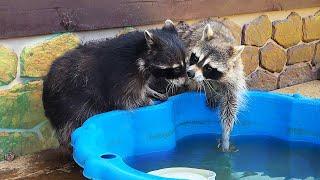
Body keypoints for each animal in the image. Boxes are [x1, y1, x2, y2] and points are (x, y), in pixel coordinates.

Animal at [42, 20, 188, 148]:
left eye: (186, 62)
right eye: (176, 68)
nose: (185, 82)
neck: (140, 53)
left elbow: (142, 87)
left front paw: (150, 92)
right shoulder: (122, 76)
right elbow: (125, 98)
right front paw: (145, 100)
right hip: (69, 107)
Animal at [176, 19, 246, 152]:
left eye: (208, 68)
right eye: (195, 58)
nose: (189, 73)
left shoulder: (234, 75)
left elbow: (230, 102)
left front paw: (225, 135)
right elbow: (200, 83)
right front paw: (210, 91)